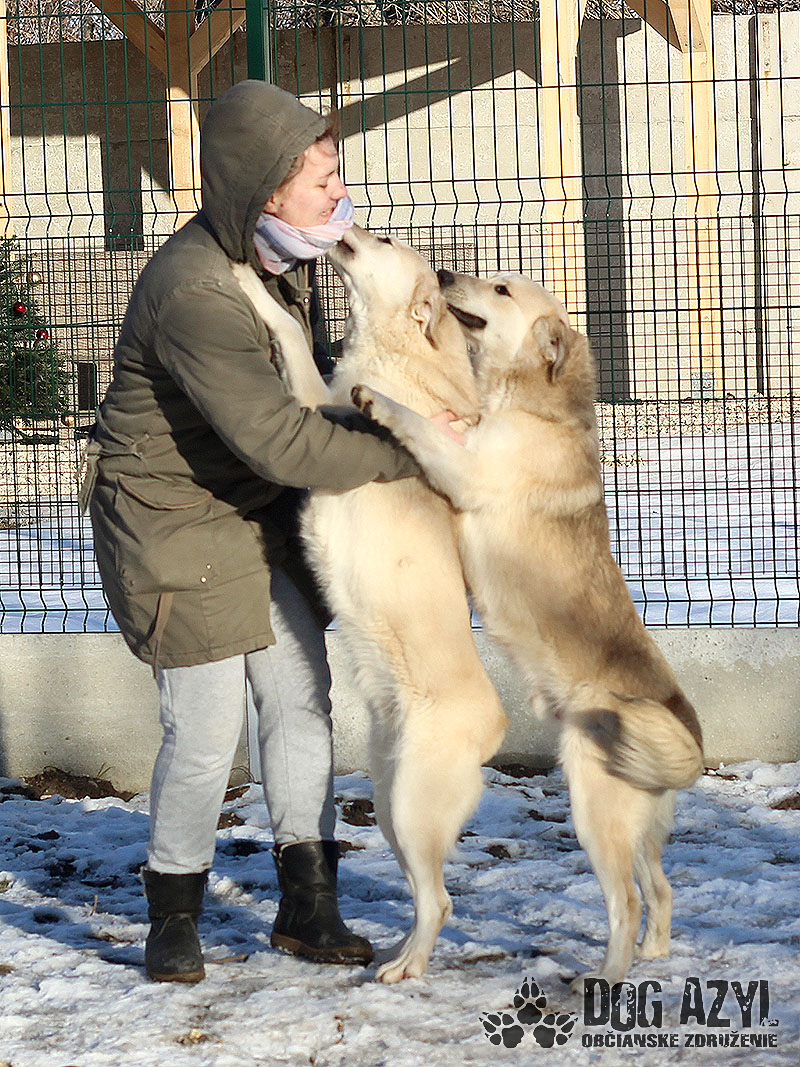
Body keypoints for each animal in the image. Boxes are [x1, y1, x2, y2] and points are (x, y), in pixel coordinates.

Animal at [231, 229, 507, 982]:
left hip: (410, 808)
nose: (350, 226)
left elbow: (290, 336)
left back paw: (403, 967)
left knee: (439, 899)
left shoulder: (317, 411)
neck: (401, 354)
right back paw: (393, 951)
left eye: (381, 240)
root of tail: (496, 726)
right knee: (424, 894)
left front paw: (248, 281)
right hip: (389, 806)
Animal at [351, 269, 704, 990]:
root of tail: (682, 725)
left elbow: (421, 424)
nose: (446, 273)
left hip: (594, 813)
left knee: (625, 901)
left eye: (502, 289)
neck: (528, 404)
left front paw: (380, 399)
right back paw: (654, 953)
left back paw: (609, 976)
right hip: (637, 825)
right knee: (659, 886)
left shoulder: (465, 470)